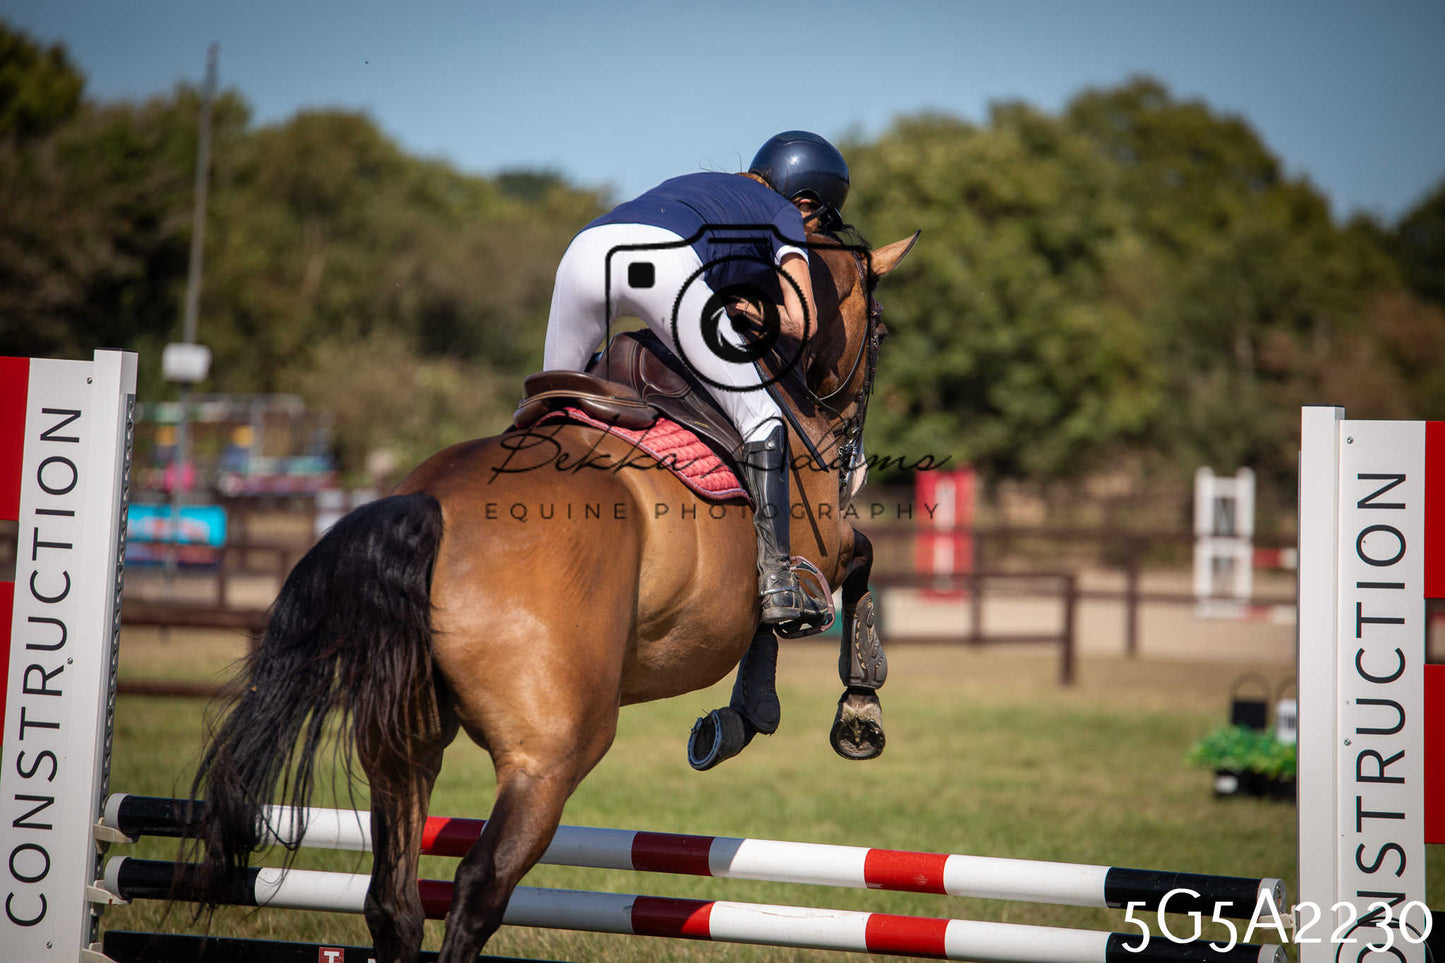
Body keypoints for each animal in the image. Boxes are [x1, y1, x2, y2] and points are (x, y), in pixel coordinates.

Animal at [183, 228, 920, 963]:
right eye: (880, 327)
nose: (853, 459)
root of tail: (428, 505)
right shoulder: (824, 542)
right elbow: (850, 565)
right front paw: (853, 711)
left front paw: (748, 716)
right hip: (550, 754)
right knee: (479, 885)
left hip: (402, 743)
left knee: (393, 901)